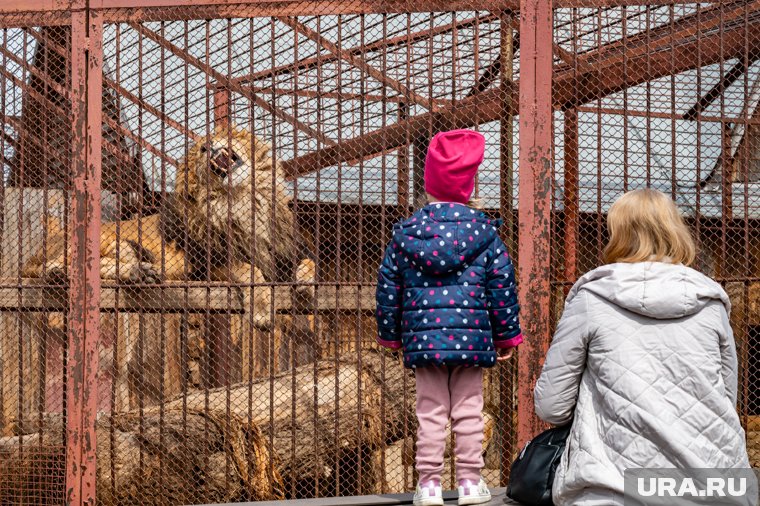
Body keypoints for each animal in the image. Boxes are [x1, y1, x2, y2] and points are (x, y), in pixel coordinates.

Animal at [22, 125, 314, 408]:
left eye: (216, 136)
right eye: (200, 149)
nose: (209, 146)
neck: (242, 202)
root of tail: (35, 252)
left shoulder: (284, 252)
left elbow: (308, 264)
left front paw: (306, 285)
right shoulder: (206, 266)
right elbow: (247, 269)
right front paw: (263, 311)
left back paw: (137, 272)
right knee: (63, 268)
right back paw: (62, 273)